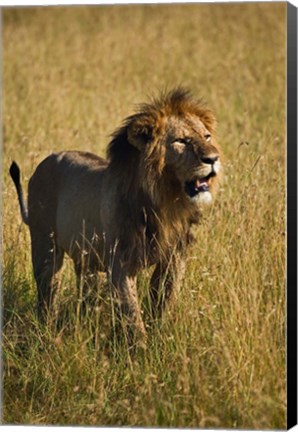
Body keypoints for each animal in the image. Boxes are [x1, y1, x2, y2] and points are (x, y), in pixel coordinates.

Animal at [9, 88, 221, 348]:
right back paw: (46, 333)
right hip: (45, 247)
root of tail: (44, 162)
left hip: (86, 259)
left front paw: (161, 337)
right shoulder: (120, 262)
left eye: (207, 136)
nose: (213, 158)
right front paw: (141, 351)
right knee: (48, 293)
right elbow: (131, 313)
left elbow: (163, 301)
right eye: (181, 141)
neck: (165, 203)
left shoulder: (174, 256)